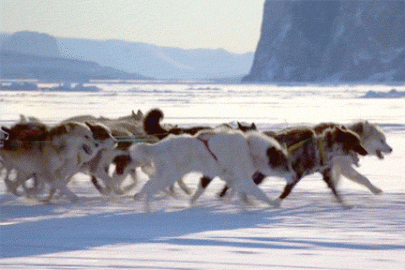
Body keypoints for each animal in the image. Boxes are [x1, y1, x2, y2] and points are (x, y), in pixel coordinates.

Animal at [129, 130, 294, 212]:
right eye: (286, 165)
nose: (295, 177)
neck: (250, 149)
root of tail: (158, 146)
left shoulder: (235, 179)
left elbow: (240, 196)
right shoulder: (243, 179)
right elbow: (260, 193)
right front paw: (273, 203)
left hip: (165, 175)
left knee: (147, 187)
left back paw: (139, 199)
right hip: (168, 176)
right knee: (149, 189)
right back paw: (146, 208)